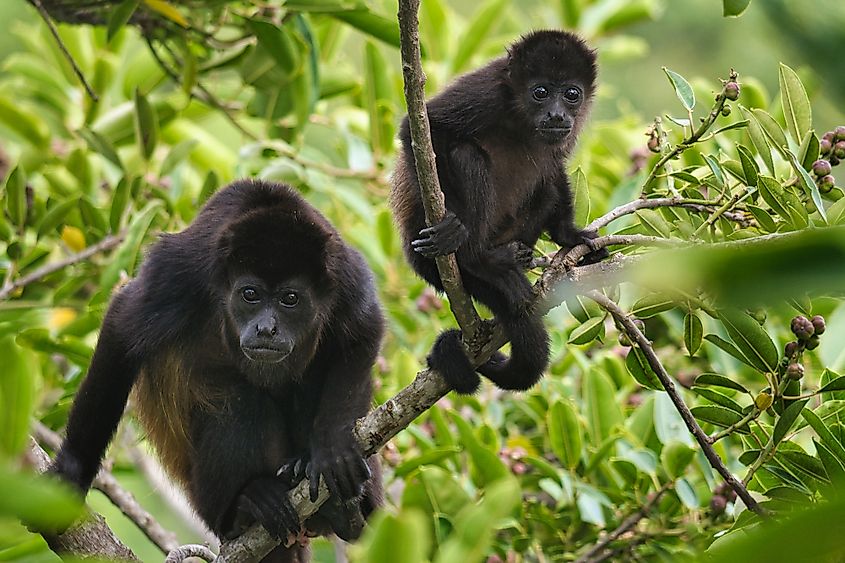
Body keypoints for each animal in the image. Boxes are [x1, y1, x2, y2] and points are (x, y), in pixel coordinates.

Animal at [50, 178, 386, 560]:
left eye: (290, 299)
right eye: (250, 294)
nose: (266, 328)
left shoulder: (346, 275)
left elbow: (363, 332)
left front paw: (332, 446)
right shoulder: (180, 272)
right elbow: (123, 324)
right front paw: (71, 472)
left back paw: (344, 510)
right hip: (205, 500)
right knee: (239, 400)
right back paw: (247, 506)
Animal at [392, 27, 604, 396]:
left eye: (571, 94)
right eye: (540, 92)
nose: (557, 114)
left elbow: (556, 166)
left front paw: (570, 235)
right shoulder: (487, 91)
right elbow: (420, 129)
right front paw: (454, 228)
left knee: (546, 180)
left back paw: (516, 254)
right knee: (468, 156)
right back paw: (480, 260)